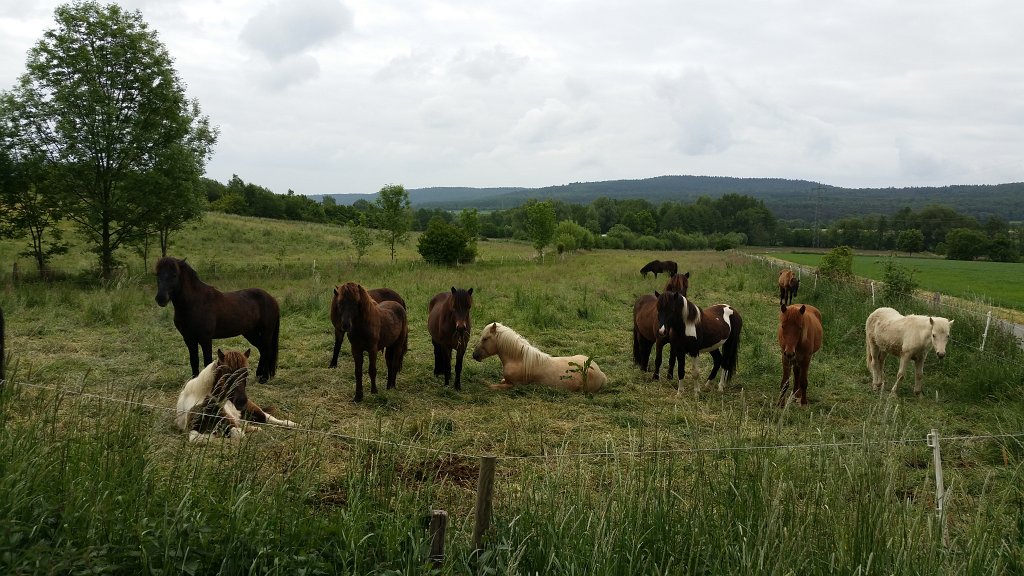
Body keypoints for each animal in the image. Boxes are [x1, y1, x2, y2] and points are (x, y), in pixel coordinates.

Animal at [471, 322, 606, 392]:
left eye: (485, 338)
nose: (474, 355)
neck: (519, 359)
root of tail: (601, 373)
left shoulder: (513, 385)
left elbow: (490, 385)